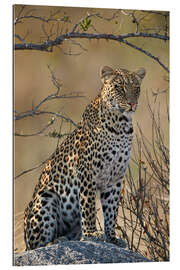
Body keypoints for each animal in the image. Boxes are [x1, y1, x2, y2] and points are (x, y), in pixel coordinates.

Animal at [23, 65, 146, 251]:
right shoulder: (87, 172)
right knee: (37, 245)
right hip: (46, 196)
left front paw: (112, 237)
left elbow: (111, 210)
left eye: (137, 88)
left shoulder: (115, 178)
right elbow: (88, 206)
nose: (132, 104)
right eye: (119, 88)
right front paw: (91, 234)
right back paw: (56, 241)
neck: (121, 125)